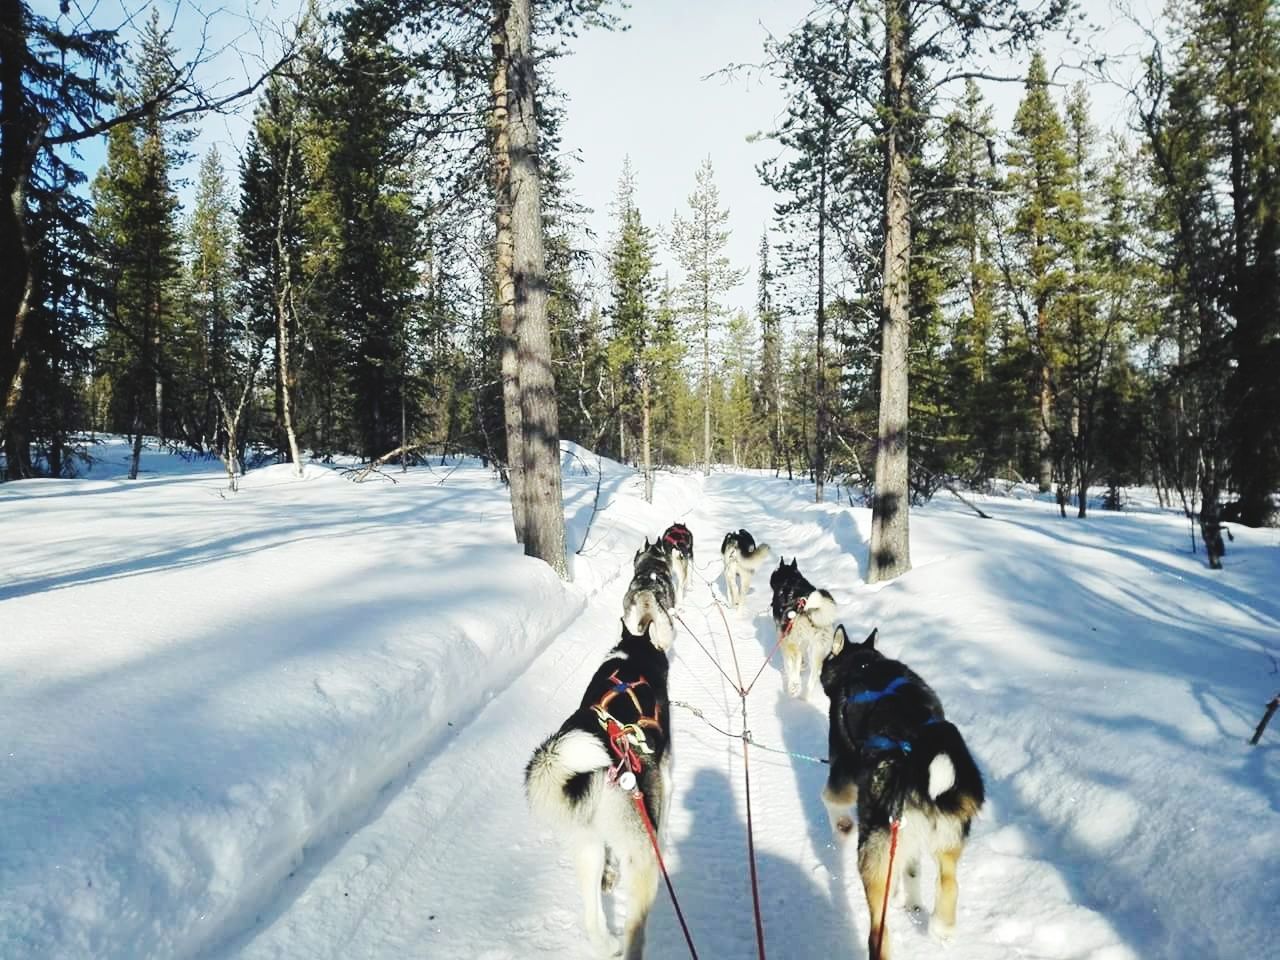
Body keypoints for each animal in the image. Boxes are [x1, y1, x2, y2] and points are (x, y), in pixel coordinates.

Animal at [524, 619, 675, 957]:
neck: (632, 656)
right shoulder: (665, 776)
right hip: (638, 857)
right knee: (634, 931)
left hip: (586, 846)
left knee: (592, 917)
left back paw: (607, 944)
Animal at [768, 555, 839, 701]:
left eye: (775, 572)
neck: (790, 578)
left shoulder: (784, 640)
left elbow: (788, 664)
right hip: (817, 649)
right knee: (813, 676)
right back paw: (804, 698)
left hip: (795, 643)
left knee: (795, 666)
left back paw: (794, 686)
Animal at [819, 627, 988, 957]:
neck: (863, 664)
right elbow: (911, 869)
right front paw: (909, 899)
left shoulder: (842, 770)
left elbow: (831, 799)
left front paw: (841, 826)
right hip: (943, 836)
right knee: (949, 881)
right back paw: (941, 928)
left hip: (872, 851)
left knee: (878, 931)